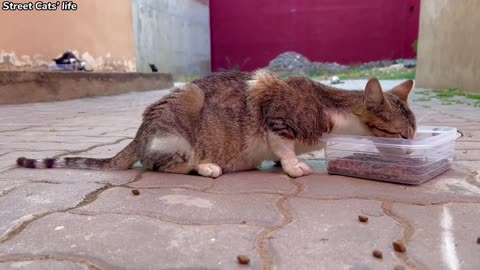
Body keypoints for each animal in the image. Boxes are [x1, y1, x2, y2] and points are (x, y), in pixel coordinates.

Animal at [16, 70, 416, 177]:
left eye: (413, 133)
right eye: (402, 134)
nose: (413, 149)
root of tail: (139, 133)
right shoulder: (273, 110)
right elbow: (283, 145)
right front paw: (292, 165)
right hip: (183, 113)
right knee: (161, 165)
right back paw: (205, 166)